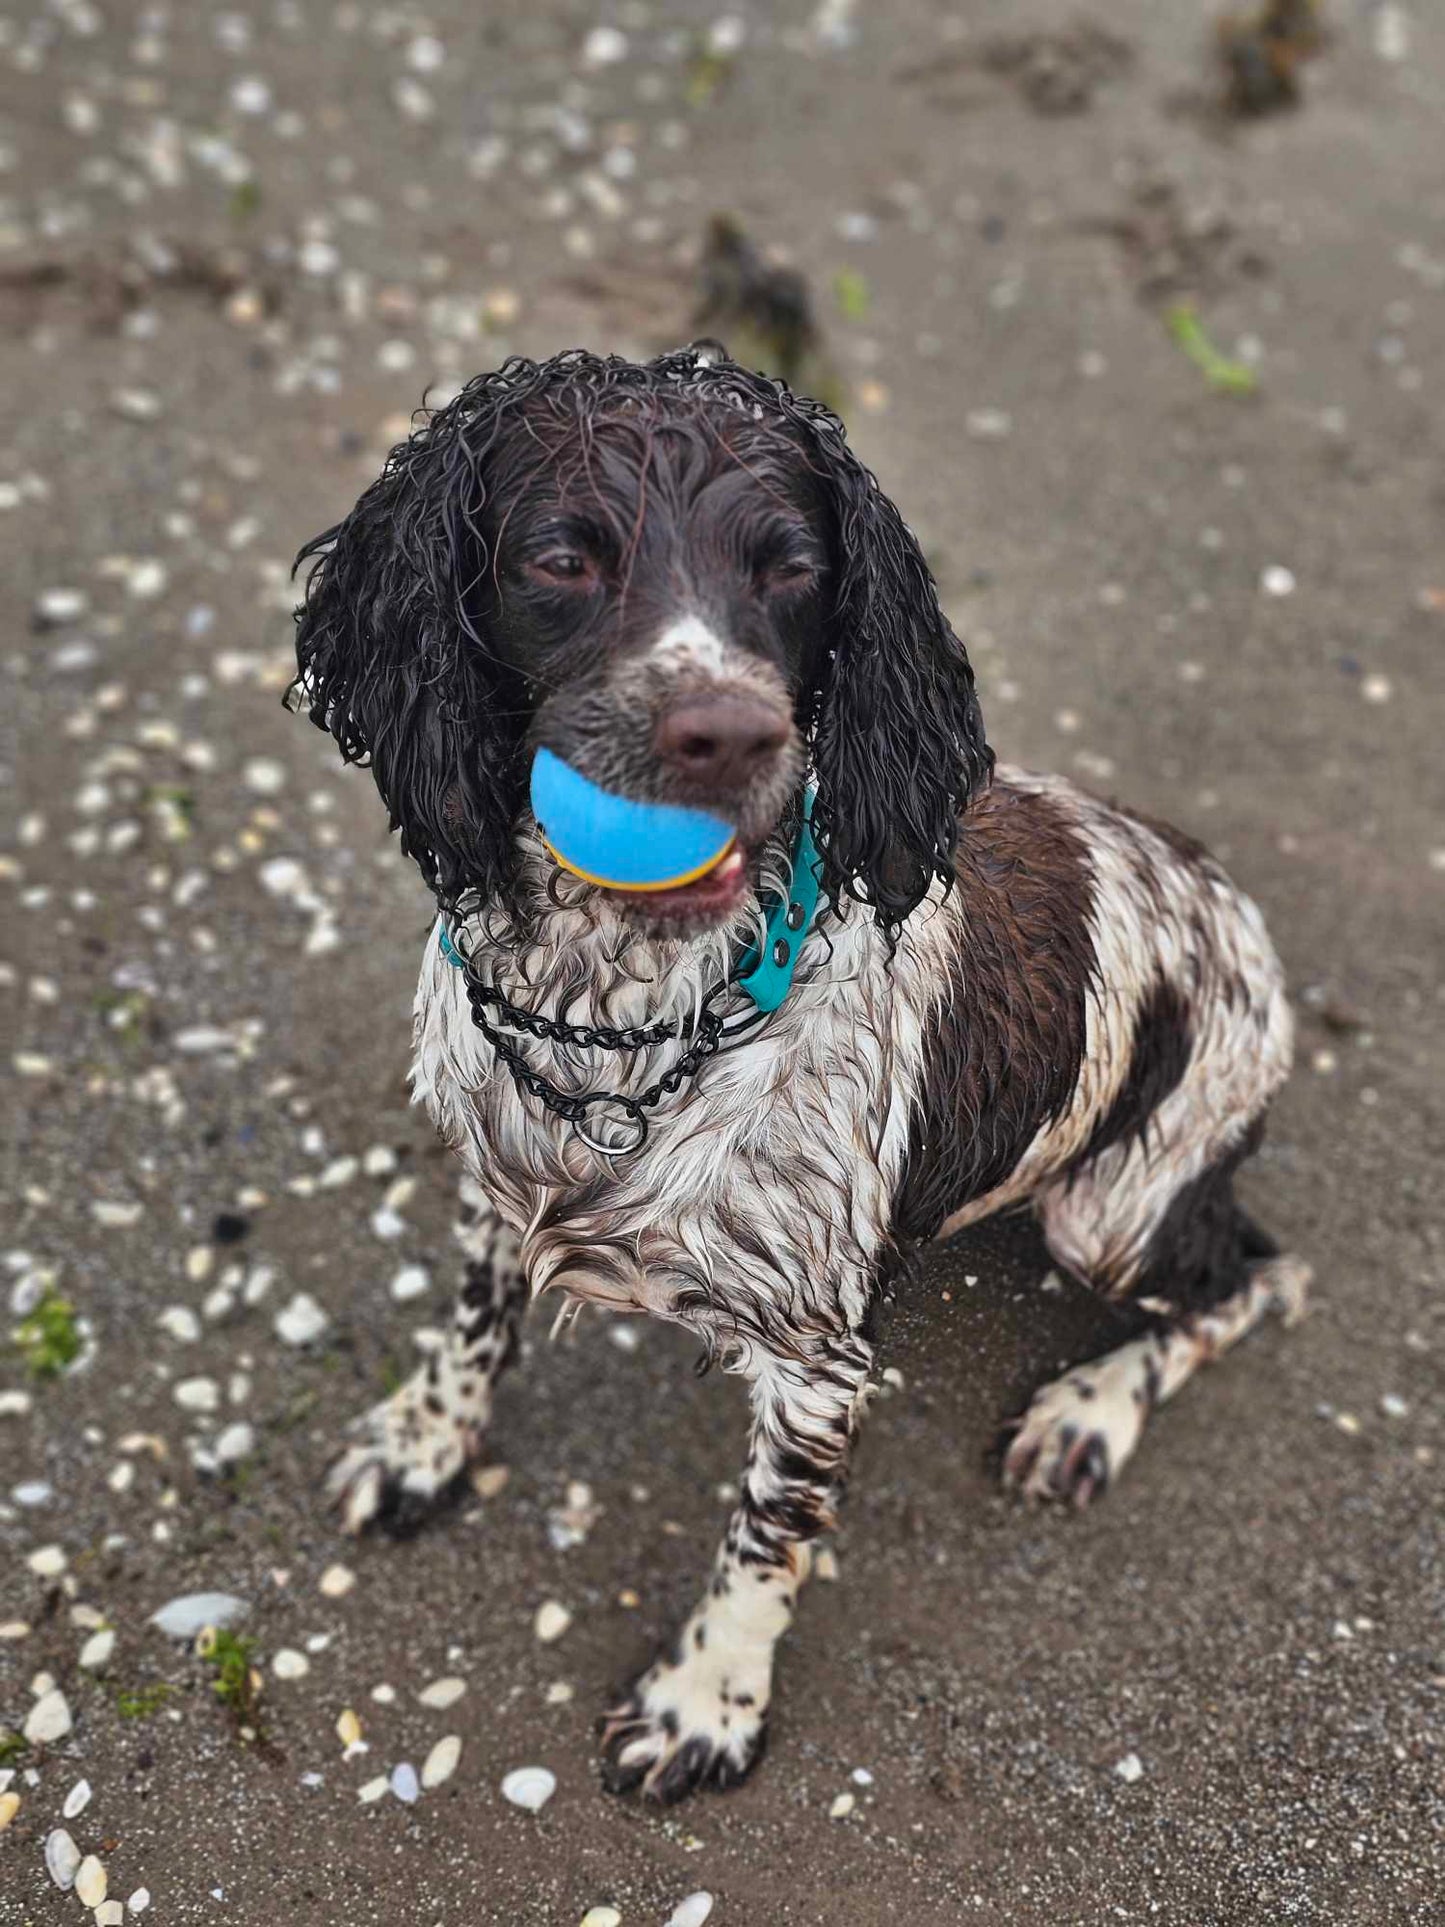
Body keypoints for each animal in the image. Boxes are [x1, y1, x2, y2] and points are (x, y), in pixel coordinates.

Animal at [290, 346, 1310, 1803]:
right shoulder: (493, 1175)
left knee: (1255, 1277)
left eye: (791, 570)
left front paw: (703, 1701)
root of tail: (1236, 904)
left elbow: (765, 1537)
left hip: (1111, 1209)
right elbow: (471, 1319)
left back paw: (1086, 1411)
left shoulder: (817, 1355)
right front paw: (424, 1440)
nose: (724, 733)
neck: (622, 1016)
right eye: (560, 556)